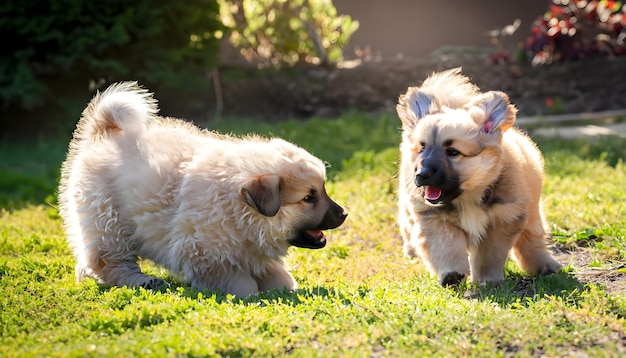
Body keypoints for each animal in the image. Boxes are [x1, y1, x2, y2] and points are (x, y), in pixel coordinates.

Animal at [58, 82, 346, 296]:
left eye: (322, 190)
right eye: (309, 198)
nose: (344, 214)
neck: (240, 207)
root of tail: (104, 134)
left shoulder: (252, 252)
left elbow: (273, 273)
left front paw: (281, 286)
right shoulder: (204, 252)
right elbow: (240, 281)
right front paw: (250, 292)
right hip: (108, 223)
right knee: (109, 262)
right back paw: (143, 280)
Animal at [394, 68, 560, 286]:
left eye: (452, 152)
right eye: (422, 147)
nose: (422, 174)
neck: (468, 197)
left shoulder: (504, 219)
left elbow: (490, 255)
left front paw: (487, 280)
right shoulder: (434, 218)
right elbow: (446, 247)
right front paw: (452, 275)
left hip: (531, 211)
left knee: (531, 238)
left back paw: (545, 264)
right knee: (407, 226)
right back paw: (411, 249)